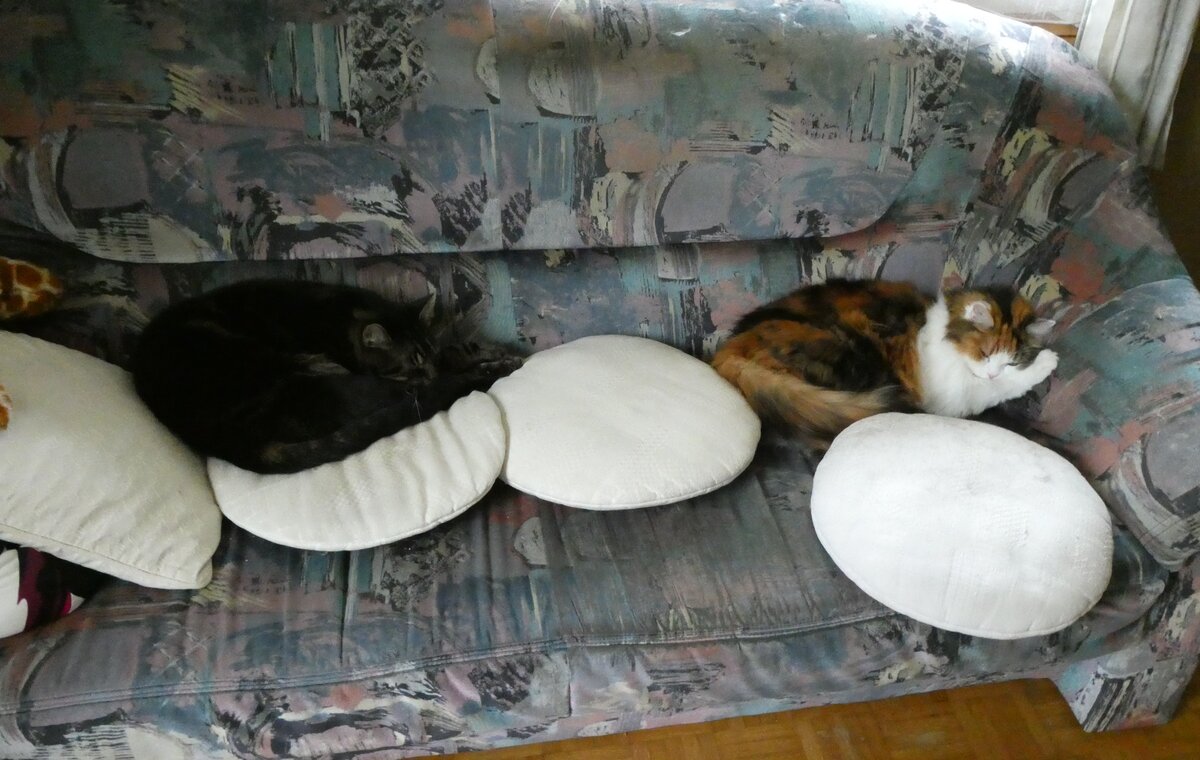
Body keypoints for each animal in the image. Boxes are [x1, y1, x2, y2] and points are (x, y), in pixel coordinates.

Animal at [132, 279, 523, 473]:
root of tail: (223, 440)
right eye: (412, 363)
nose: (427, 373)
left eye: (424, 357)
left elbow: (451, 353)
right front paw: (490, 359)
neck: (349, 315)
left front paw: (488, 350)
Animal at [711, 278, 1058, 448]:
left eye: (1012, 361)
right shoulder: (954, 396)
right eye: (985, 353)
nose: (992, 373)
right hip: (852, 355)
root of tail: (732, 348)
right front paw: (1049, 361)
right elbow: (999, 389)